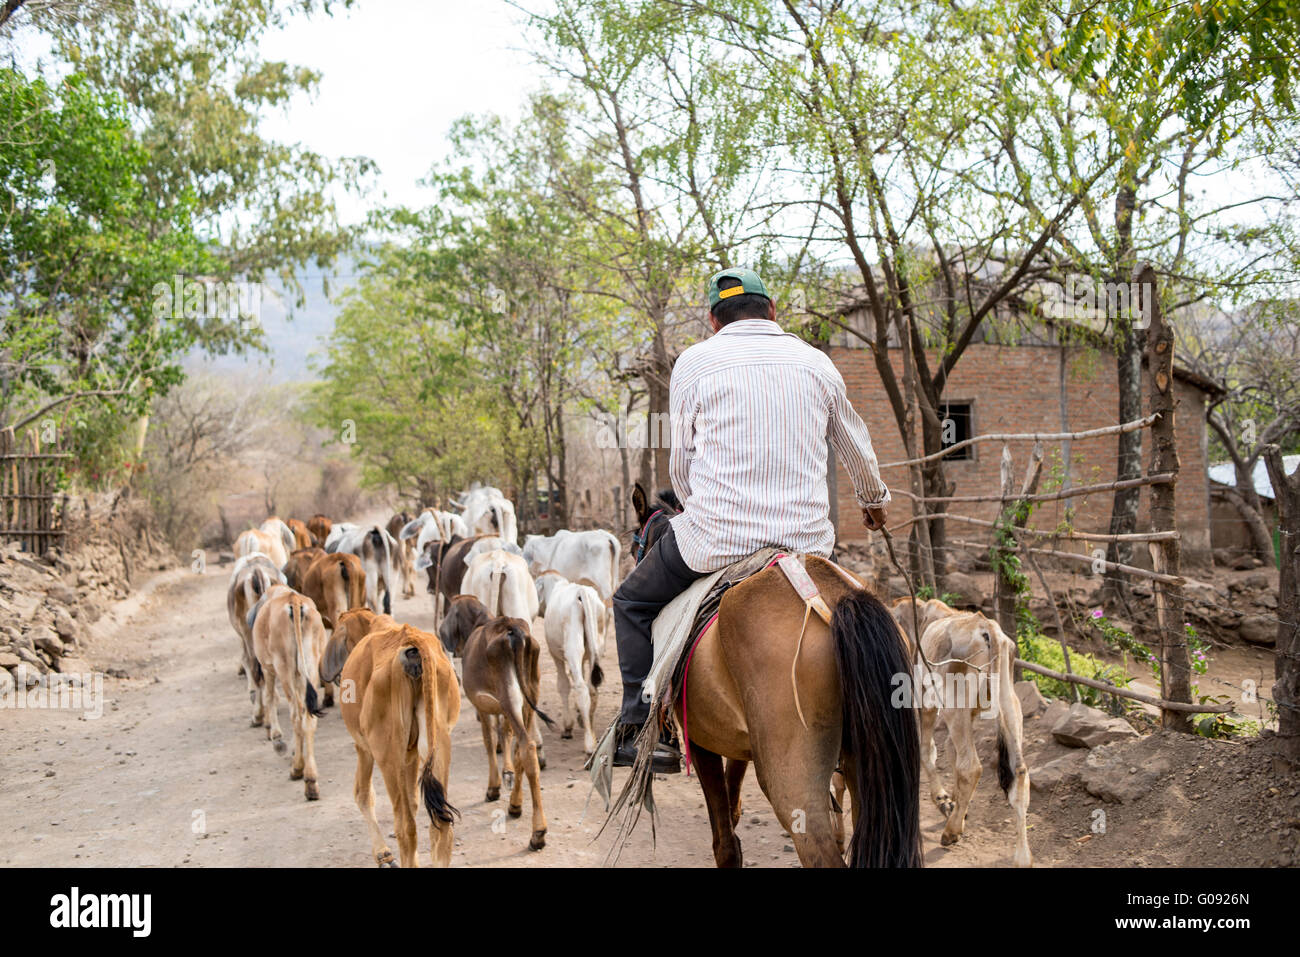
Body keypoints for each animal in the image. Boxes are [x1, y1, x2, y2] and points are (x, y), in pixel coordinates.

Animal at [248, 582, 327, 800]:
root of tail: (295, 601)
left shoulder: (268, 668)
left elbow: (269, 697)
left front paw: (275, 737)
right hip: (310, 665)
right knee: (308, 718)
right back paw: (311, 778)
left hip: (284, 668)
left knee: (296, 715)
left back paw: (300, 772)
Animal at [343, 621, 460, 868]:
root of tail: (412, 644)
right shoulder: (412, 755)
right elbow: (414, 801)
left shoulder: (365, 749)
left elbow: (362, 793)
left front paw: (383, 854)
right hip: (438, 741)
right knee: (441, 825)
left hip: (388, 753)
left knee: (405, 827)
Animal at [462, 613, 553, 852]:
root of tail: (512, 627)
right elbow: (506, 736)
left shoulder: (482, 707)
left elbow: (490, 741)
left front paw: (493, 788)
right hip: (530, 693)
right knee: (524, 748)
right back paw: (515, 805)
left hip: (509, 696)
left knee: (526, 746)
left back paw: (538, 833)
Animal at [548, 574, 608, 754]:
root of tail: (580, 592)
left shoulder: (556, 656)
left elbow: (563, 685)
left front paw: (568, 726)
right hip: (596, 645)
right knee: (592, 689)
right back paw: (589, 728)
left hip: (572, 648)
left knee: (581, 688)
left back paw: (589, 743)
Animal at [621, 486, 920, 868]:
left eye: (635, 543)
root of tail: (839, 599)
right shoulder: (736, 737)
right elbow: (732, 804)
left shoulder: (701, 739)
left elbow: (724, 842)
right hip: (871, 770)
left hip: (793, 783)